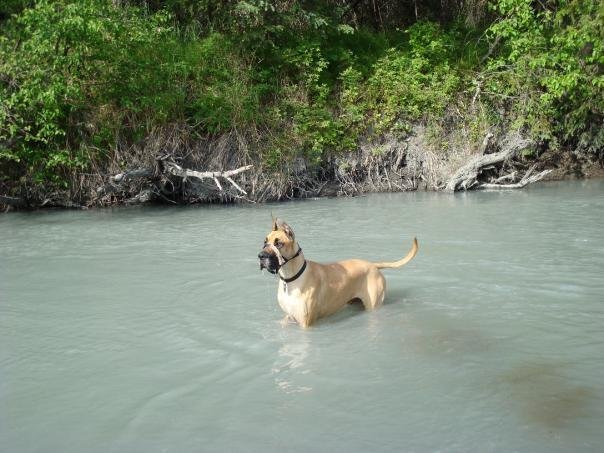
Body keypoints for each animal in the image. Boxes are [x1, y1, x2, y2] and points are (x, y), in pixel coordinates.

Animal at [258, 217, 418, 326]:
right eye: (265, 242)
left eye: (279, 243)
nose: (260, 256)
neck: (291, 279)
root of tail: (373, 265)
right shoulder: (289, 317)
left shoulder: (306, 323)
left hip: (373, 305)